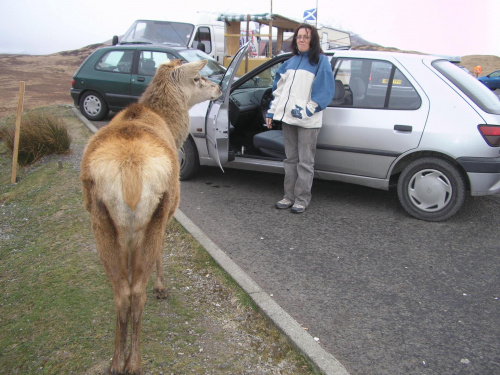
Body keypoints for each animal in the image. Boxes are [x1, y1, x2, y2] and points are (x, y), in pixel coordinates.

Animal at [80, 60, 221, 374]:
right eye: (197, 78)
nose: (218, 87)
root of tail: (130, 171)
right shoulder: (169, 212)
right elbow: (161, 252)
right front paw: (161, 286)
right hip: (156, 211)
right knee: (137, 292)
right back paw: (135, 361)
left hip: (101, 220)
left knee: (122, 292)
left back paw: (116, 360)